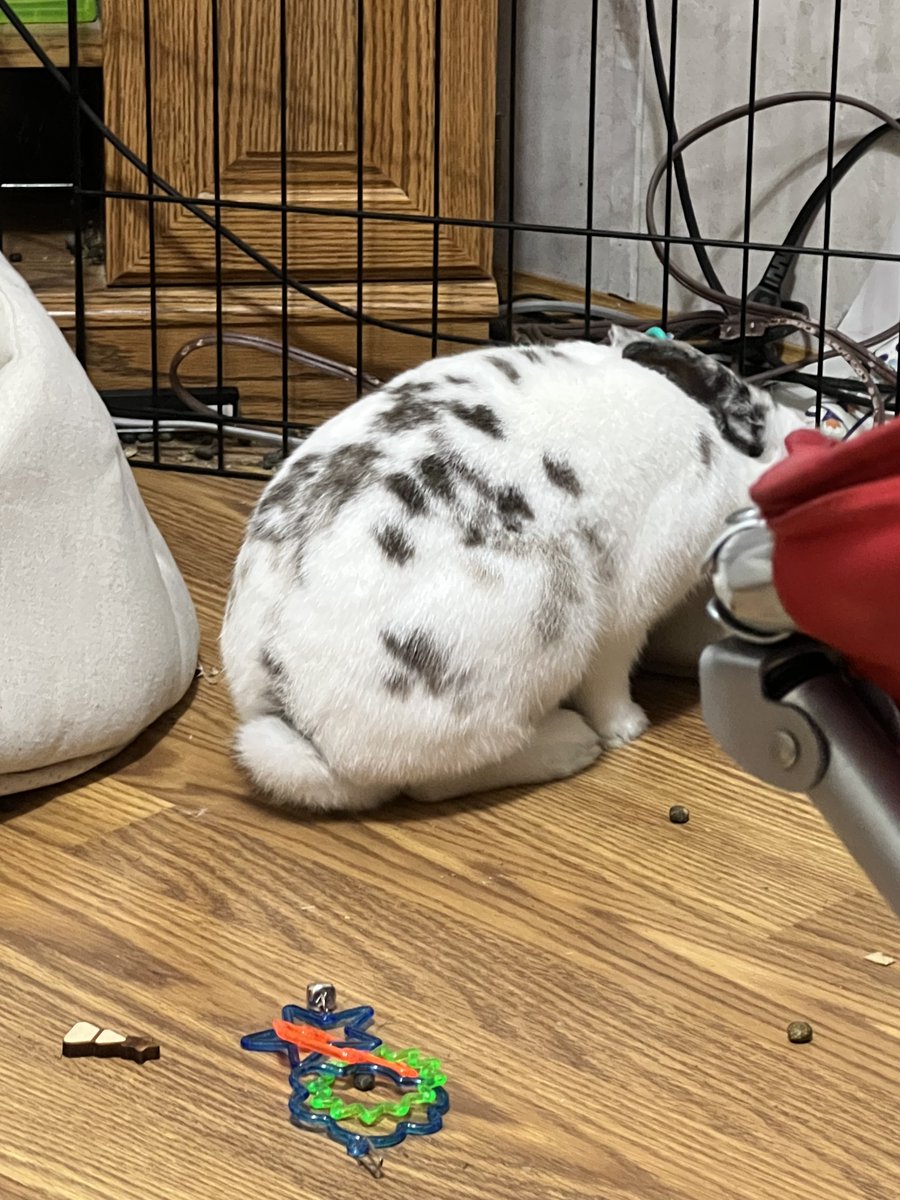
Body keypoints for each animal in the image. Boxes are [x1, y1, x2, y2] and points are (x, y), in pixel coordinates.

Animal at [220, 326, 805, 812]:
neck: (725, 457)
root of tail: (287, 708)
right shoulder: (630, 610)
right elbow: (609, 677)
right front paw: (628, 728)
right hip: (546, 623)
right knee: (437, 781)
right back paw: (573, 743)